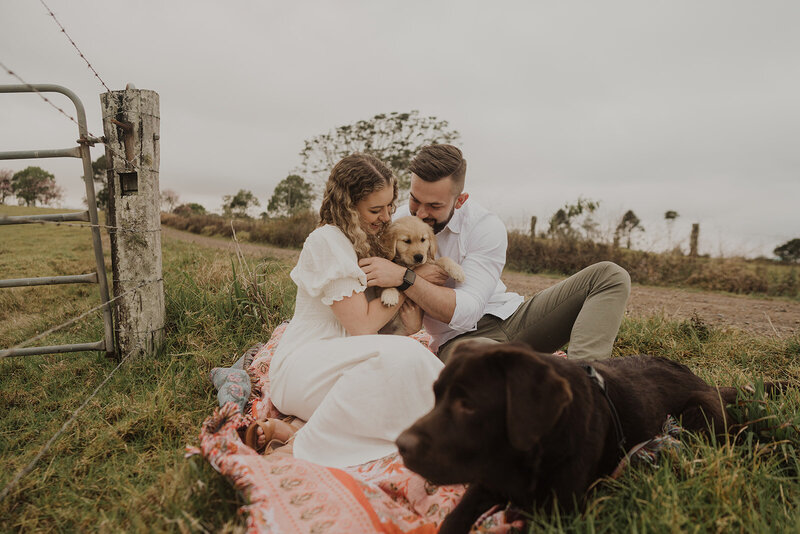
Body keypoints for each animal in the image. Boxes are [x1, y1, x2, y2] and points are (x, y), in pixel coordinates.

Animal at [396, 344, 784, 534]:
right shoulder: (486, 482)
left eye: (468, 405)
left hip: (697, 415)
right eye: (437, 396)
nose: (401, 446)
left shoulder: (557, 514)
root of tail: (709, 383)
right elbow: (452, 520)